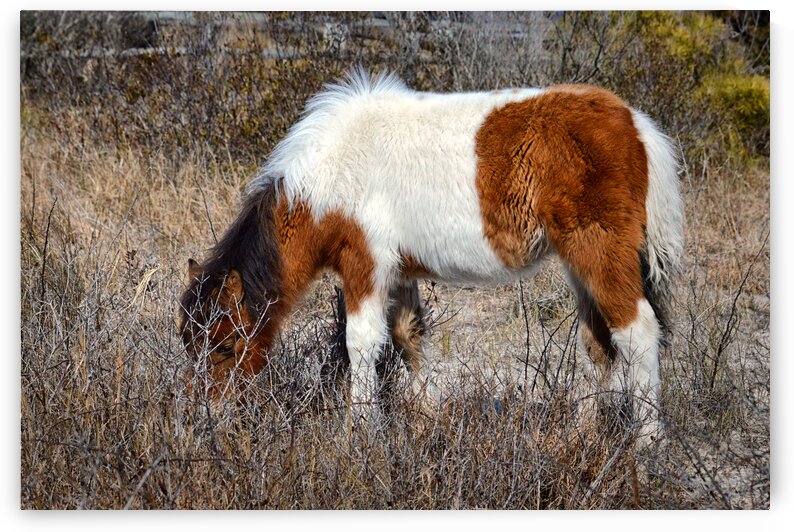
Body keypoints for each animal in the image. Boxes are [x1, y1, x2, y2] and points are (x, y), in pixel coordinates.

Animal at [179, 68, 684, 445]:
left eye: (225, 346)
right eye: (191, 346)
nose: (205, 420)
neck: (330, 177)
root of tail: (634, 124)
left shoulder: (366, 263)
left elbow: (361, 343)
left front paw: (362, 432)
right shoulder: (400, 272)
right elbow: (409, 336)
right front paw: (423, 421)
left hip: (600, 252)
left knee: (637, 332)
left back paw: (647, 442)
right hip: (580, 263)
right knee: (597, 342)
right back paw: (579, 434)